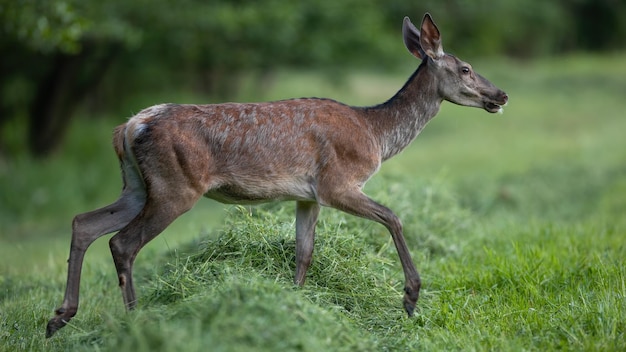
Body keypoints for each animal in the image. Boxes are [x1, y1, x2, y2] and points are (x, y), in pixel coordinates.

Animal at [47, 13, 508, 338]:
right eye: (466, 68)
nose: (501, 95)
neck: (376, 135)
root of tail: (130, 126)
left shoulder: (308, 195)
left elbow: (303, 252)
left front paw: (294, 307)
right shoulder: (337, 182)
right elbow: (394, 217)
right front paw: (410, 298)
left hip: (138, 185)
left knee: (84, 222)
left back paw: (59, 318)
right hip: (175, 186)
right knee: (122, 242)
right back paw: (135, 321)